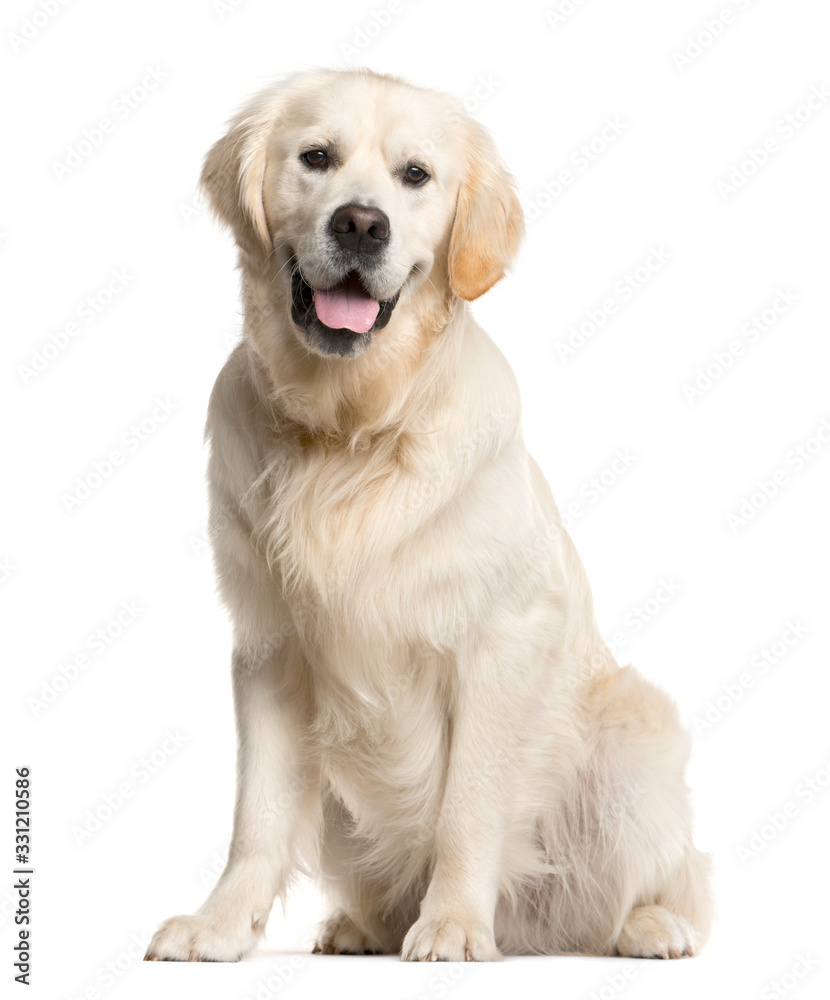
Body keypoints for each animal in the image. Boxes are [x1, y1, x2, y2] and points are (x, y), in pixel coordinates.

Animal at [145, 68, 716, 960]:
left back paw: (650, 926)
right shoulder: (268, 646)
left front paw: (451, 923)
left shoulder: (501, 639)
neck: (350, 433)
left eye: (415, 175)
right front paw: (220, 924)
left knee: (650, 887)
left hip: (637, 736)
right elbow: (257, 817)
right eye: (316, 157)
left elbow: (467, 807)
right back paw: (358, 928)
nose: (360, 223)